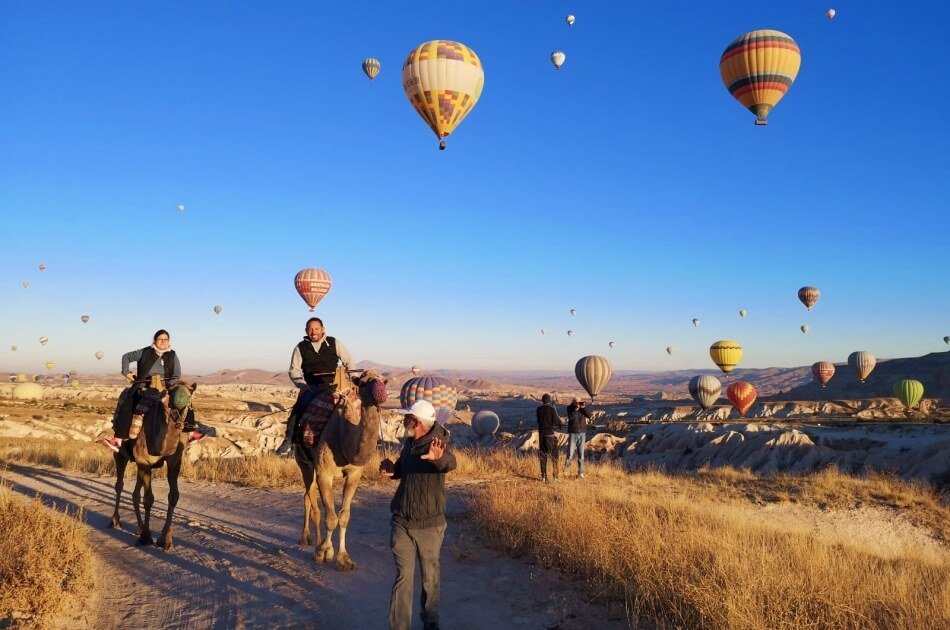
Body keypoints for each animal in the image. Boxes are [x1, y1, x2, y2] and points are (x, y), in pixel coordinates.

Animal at [108, 378, 197, 552]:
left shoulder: (174, 462)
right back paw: (115, 521)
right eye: (171, 397)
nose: (180, 421)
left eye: (189, 397)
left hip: (139, 465)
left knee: (135, 493)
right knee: (119, 485)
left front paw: (165, 539)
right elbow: (148, 498)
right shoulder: (144, 462)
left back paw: (139, 527)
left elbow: (173, 496)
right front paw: (146, 537)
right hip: (120, 454)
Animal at [296, 370, 388, 572]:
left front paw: (344, 559)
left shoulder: (354, 474)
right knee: (312, 500)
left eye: (384, 381)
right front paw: (324, 552)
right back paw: (312, 541)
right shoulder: (324, 473)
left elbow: (344, 516)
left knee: (307, 496)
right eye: (363, 382)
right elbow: (330, 517)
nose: (380, 392)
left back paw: (309, 539)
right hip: (304, 463)